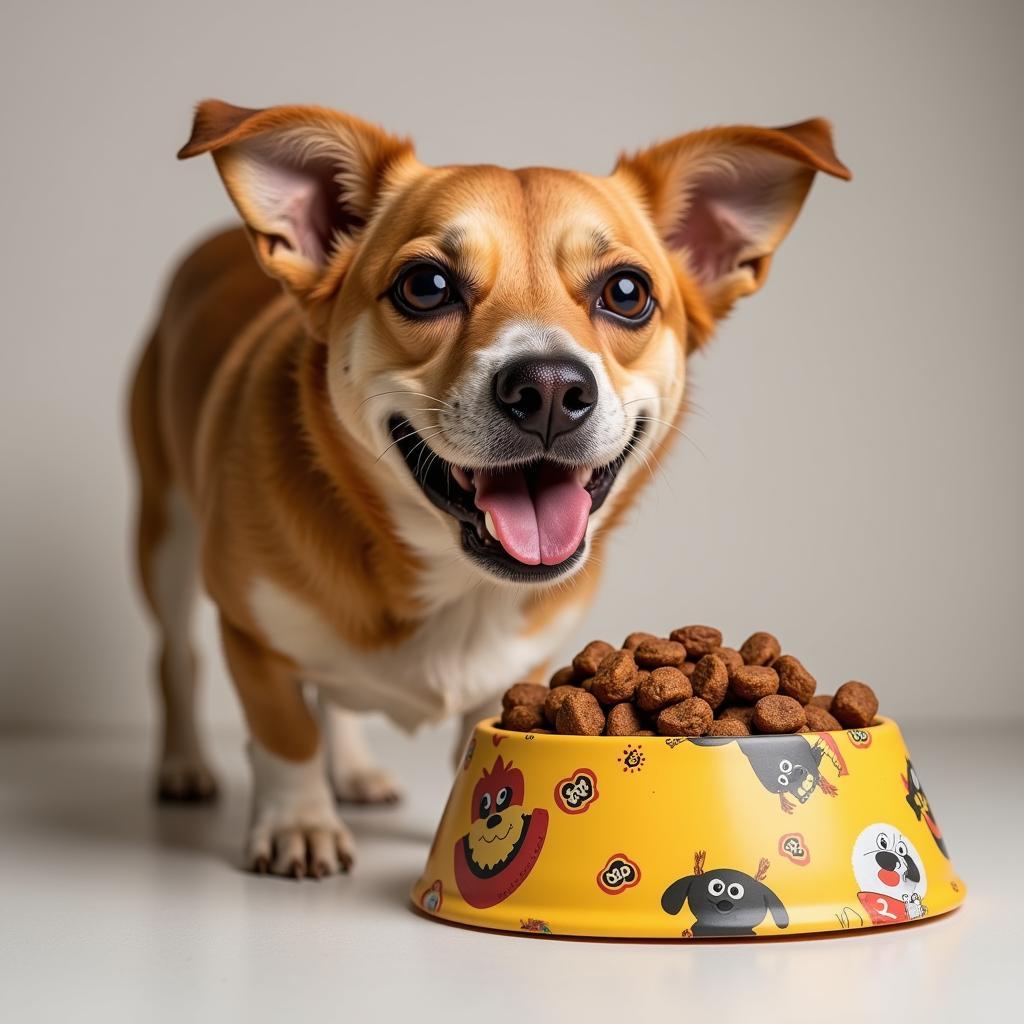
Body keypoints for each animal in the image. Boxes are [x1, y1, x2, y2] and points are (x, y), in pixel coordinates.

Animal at [128, 99, 847, 876]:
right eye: (426, 286)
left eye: (627, 293)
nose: (550, 388)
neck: (455, 583)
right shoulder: (249, 634)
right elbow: (286, 735)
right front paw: (300, 824)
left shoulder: (518, 670)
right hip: (164, 538)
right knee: (176, 657)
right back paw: (183, 767)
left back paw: (354, 771)